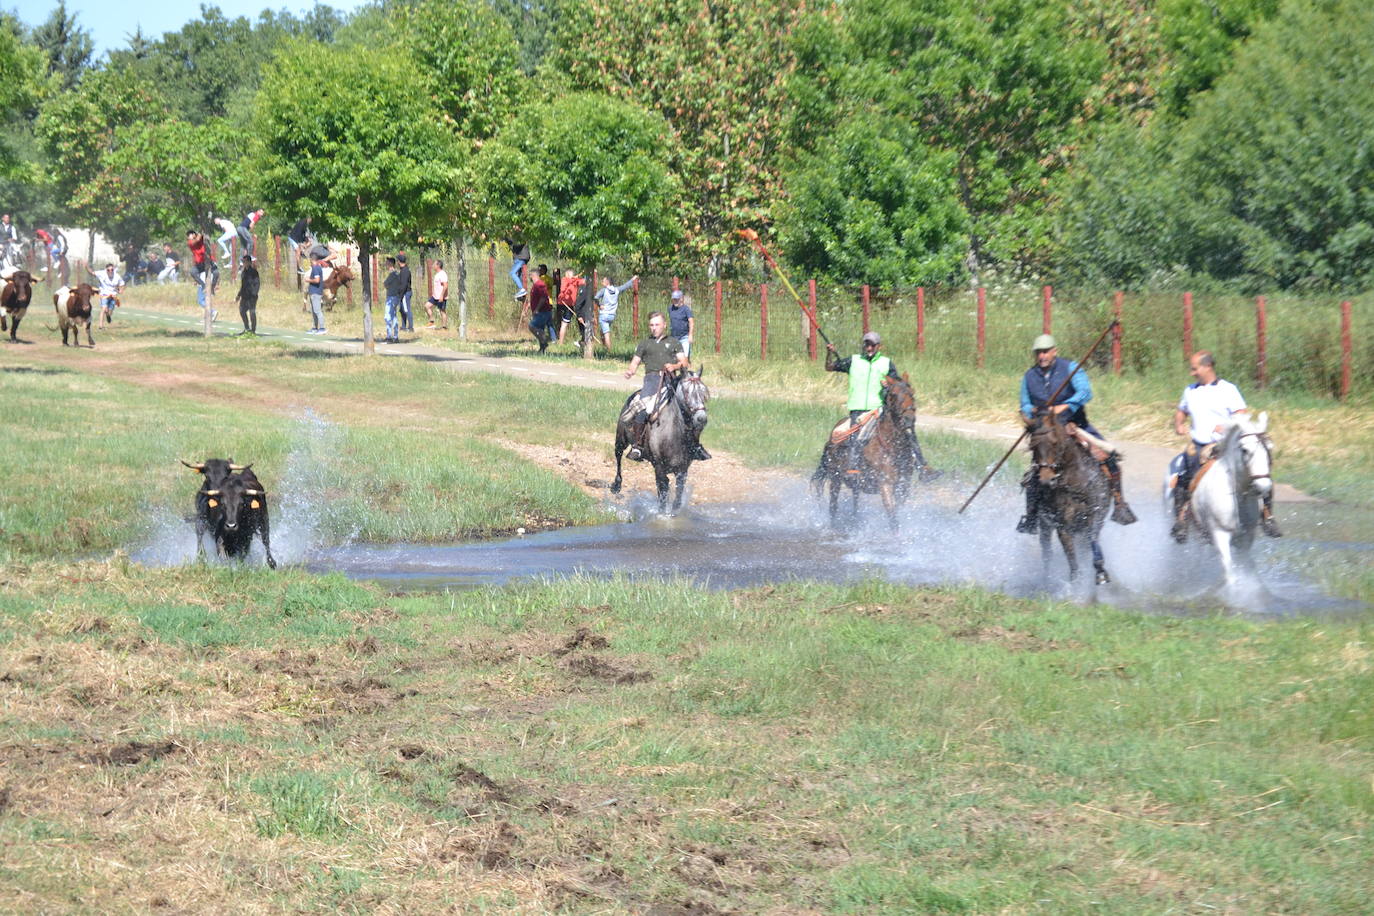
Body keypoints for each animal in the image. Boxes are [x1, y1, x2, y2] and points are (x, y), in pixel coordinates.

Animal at [615, 373, 714, 516]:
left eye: (703, 393)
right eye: (686, 392)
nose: (702, 419)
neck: (673, 435)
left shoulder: (682, 471)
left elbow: (677, 497)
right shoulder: (659, 468)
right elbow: (662, 493)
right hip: (620, 440)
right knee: (618, 457)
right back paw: (616, 485)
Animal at [807, 373, 917, 530]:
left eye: (912, 394)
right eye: (894, 395)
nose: (908, 419)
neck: (892, 447)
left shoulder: (902, 487)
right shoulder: (885, 485)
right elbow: (892, 518)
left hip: (854, 484)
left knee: (855, 504)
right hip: (835, 478)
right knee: (833, 507)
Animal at [1027, 411, 1110, 585]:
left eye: (1054, 442)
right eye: (1032, 446)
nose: (1046, 479)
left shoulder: (1095, 517)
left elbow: (1093, 542)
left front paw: (1100, 573)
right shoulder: (1062, 526)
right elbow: (1071, 556)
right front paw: (1075, 581)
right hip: (1045, 524)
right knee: (1046, 551)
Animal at [1181, 411, 1275, 585]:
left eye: (1269, 448)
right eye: (1245, 450)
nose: (1263, 486)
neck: (1237, 497)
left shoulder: (1246, 538)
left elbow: (1246, 567)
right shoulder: (1220, 534)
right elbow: (1229, 573)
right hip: (1200, 533)